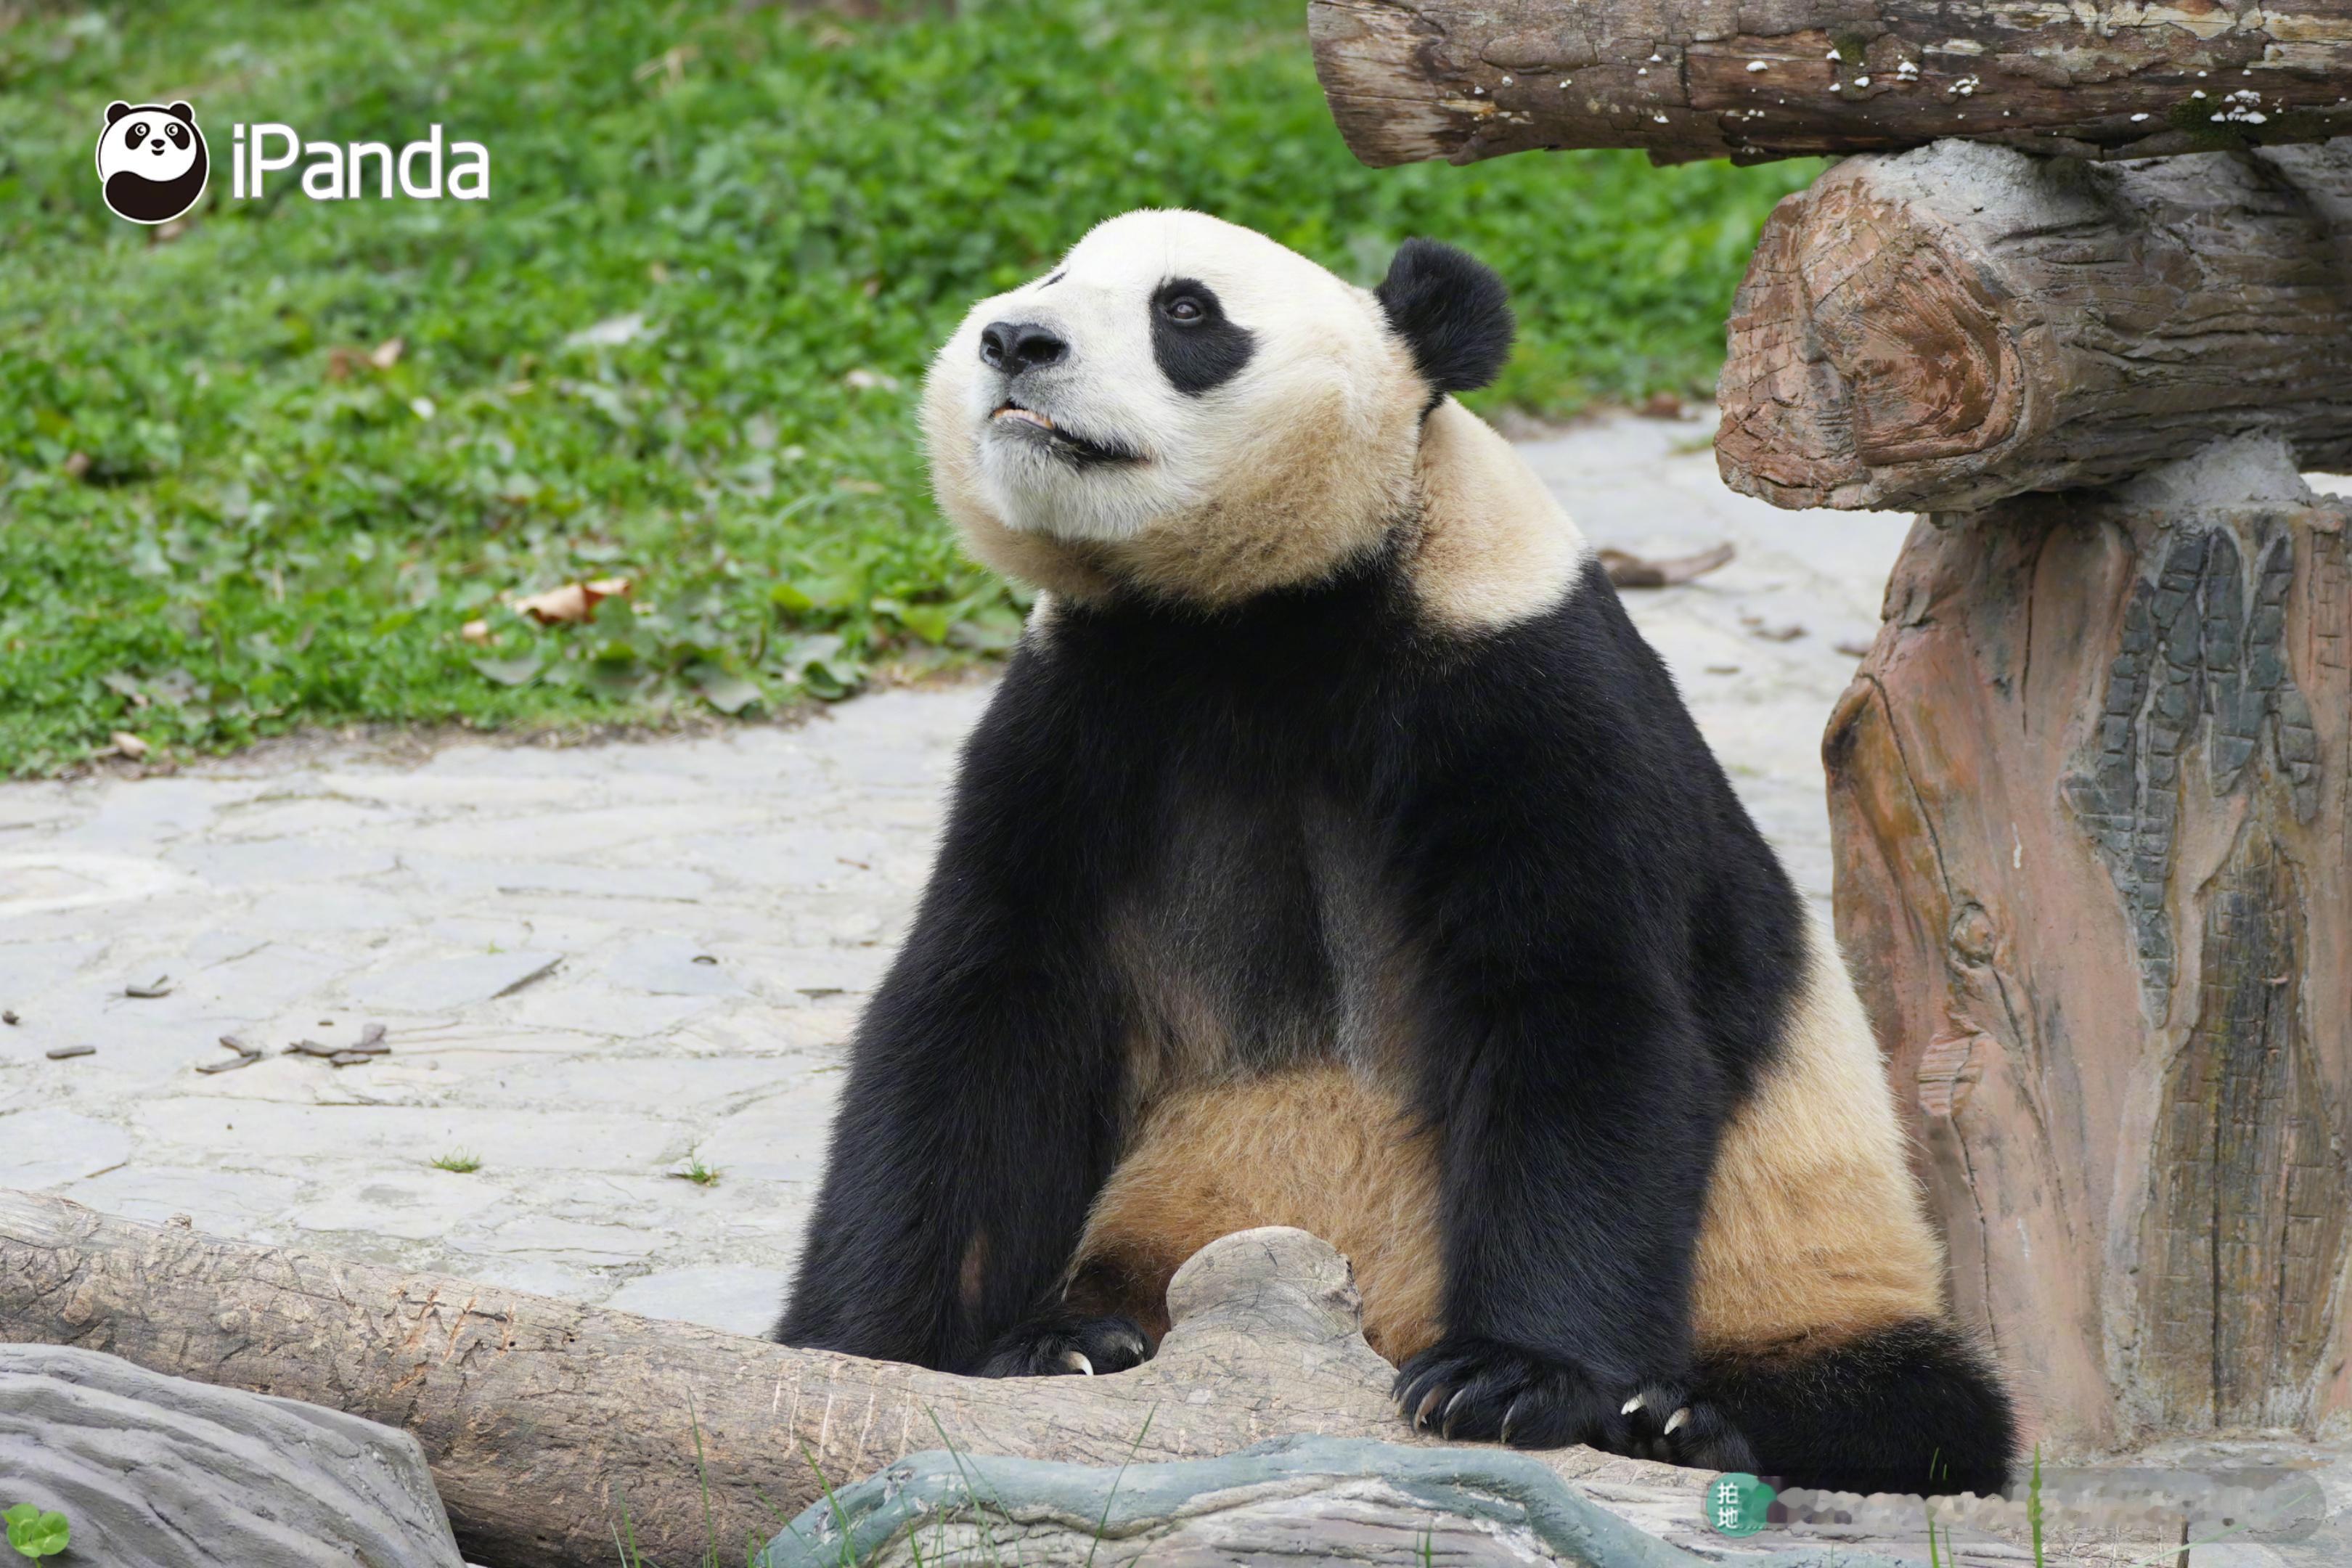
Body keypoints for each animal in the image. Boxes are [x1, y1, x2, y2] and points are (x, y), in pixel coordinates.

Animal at [776, 209, 2017, 1498]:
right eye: (1058, 274)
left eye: (1186, 311)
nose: (1015, 340)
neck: (1254, 621)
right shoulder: (1082, 717)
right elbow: (984, 1012)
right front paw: (871, 1351)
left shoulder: (1520, 690)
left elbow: (1577, 1012)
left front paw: (1511, 1378)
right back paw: (1075, 1340)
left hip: (1808, 1257)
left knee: (1916, 1400)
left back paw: (1686, 1420)